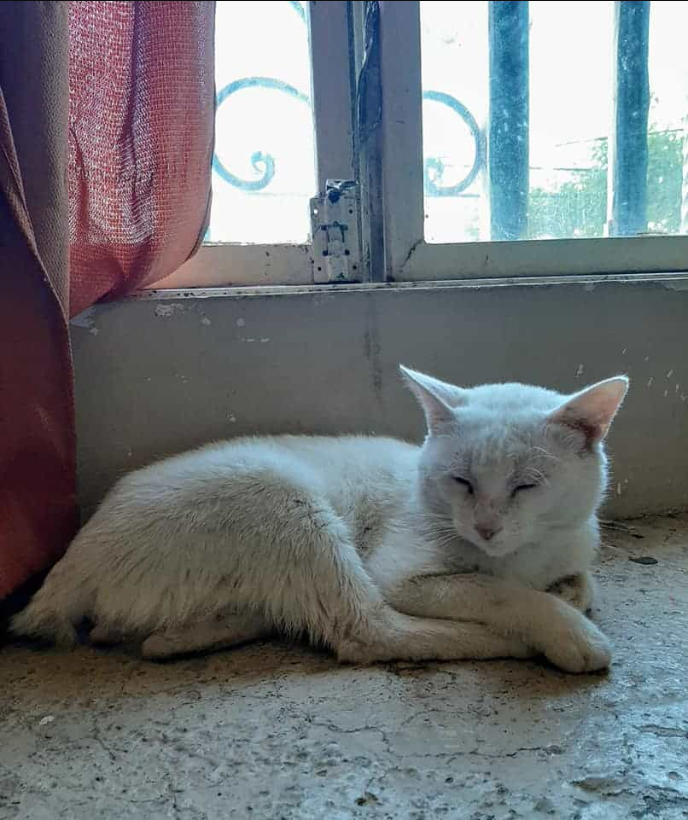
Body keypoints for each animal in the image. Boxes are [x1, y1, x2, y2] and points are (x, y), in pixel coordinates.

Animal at [9, 366, 628, 672]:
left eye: (527, 485)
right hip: (288, 500)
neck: (526, 556)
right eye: (462, 482)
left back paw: (178, 637)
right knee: (367, 633)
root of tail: (74, 559)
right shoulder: (402, 573)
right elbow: (501, 594)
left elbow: (581, 584)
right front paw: (563, 628)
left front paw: (567, 594)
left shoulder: (573, 550)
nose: (486, 528)